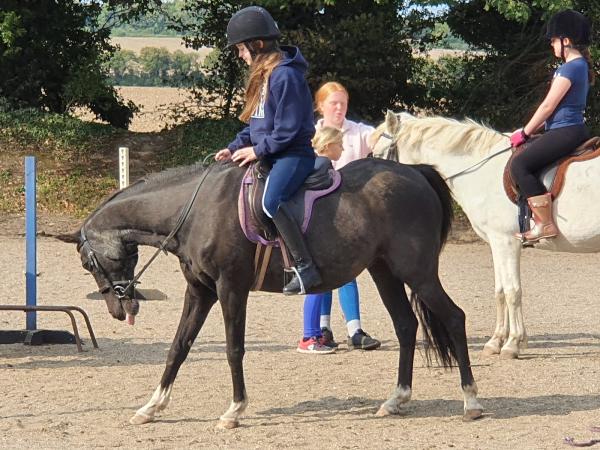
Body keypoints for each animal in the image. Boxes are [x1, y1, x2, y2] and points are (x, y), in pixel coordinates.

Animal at [57, 159, 482, 428]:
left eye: (87, 262)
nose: (119, 308)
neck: (194, 211)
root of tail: (414, 173)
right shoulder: (200, 291)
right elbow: (179, 346)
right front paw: (151, 406)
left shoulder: (230, 288)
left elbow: (234, 348)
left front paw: (234, 410)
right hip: (384, 272)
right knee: (407, 326)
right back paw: (396, 400)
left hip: (417, 272)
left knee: (454, 317)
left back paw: (471, 401)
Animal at [370, 111, 600, 358]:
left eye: (378, 154)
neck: (481, 172)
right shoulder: (496, 243)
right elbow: (500, 291)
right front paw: (497, 341)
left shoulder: (506, 242)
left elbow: (512, 291)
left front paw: (512, 344)